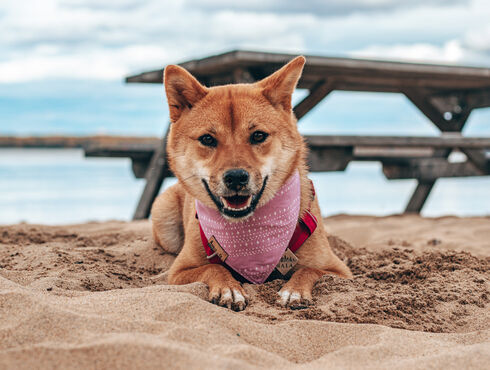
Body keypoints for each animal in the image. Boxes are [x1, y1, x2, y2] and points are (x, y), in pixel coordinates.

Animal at [152, 56, 352, 310]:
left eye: (258, 135)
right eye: (207, 139)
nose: (236, 177)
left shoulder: (338, 270)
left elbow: (309, 270)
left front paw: (294, 291)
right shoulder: (179, 271)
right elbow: (213, 267)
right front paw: (229, 289)